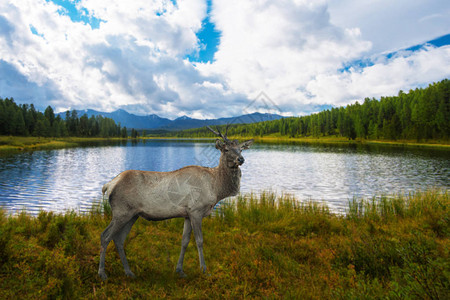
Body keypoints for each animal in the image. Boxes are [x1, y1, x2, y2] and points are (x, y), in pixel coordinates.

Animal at [98, 125, 253, 280]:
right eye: (226, 149)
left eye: (240, 149)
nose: (241, 159)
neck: (216, 189)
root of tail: (108, 185)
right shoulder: (196, 210)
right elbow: (199, 241)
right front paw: (204, 270)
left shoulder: (187, 214)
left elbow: (184, 241)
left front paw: (180, 270)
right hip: (121, 211)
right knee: (105, 235)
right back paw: (102, 273)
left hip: (132, 214)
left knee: (119, 239)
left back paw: (129, 272)